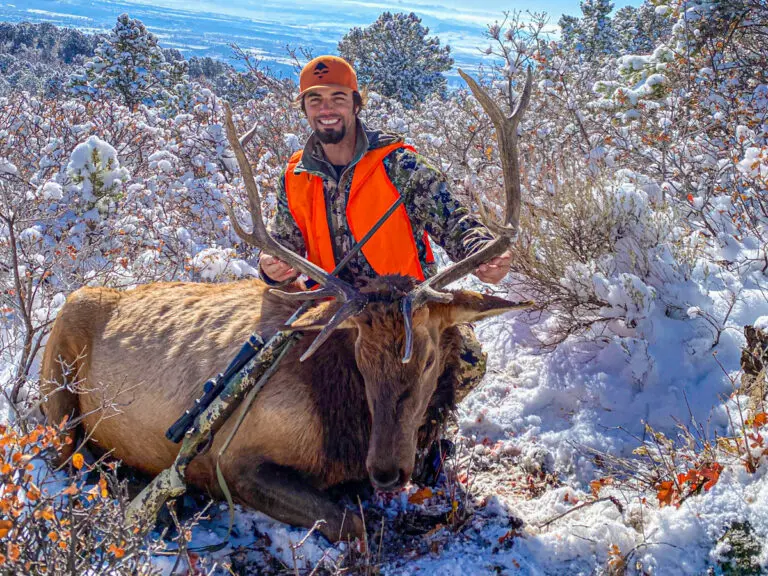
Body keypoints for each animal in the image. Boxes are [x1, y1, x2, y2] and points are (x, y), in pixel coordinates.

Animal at [39, 70, 533, 543]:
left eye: (429, 360)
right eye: (361, 357)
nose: (386, 472)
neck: (342, 430)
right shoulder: (231, 460)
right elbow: (351, 523)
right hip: (58, 388)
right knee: (65, 455)